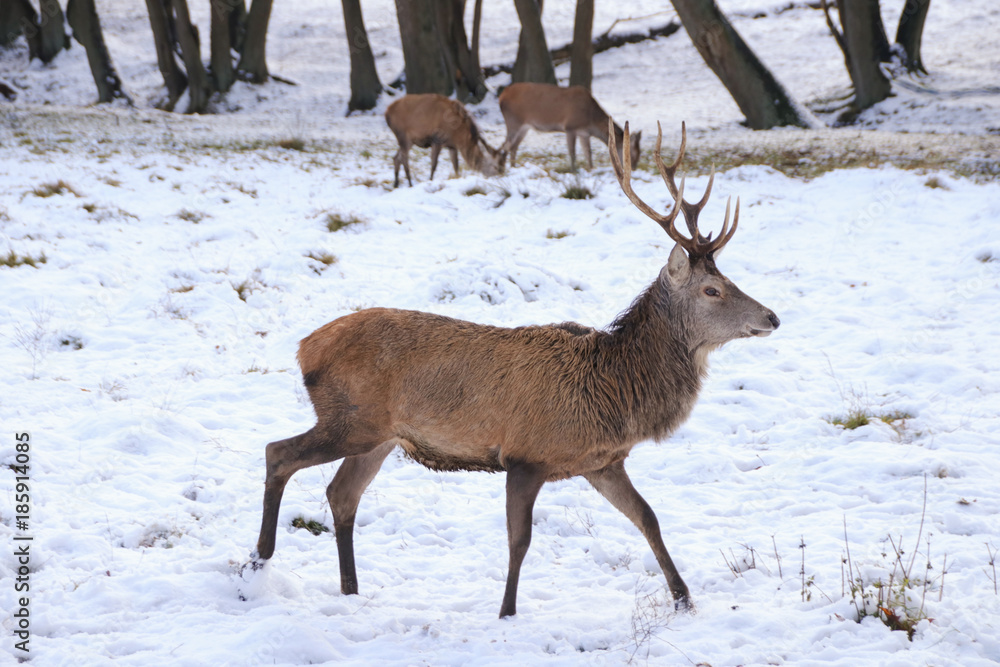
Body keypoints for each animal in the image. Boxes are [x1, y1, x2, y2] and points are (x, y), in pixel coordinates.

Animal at [245, 120, 780, 618]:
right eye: (712, 289)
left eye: (729, 279)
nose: (772, 317)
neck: (612, 391)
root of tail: (304, 348)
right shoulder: (525, 456)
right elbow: (519, 541)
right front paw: (506, 612)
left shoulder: (602, 462)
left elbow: (648, 517)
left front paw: (684, 599)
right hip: (351, 418)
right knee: (278, 453)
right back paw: (260, 559)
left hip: (380, 437)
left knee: (341, 494)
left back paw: (350, 589)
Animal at [498, 82, 641, 171]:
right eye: (631, 152)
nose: (633, 168)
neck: (591, 121)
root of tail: (501, 96)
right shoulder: (570, 127)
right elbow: (572, 153)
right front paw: (573, 170)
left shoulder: (584, 133)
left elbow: (588, 153)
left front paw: (591, 169)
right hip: (513, 121)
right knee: (505, 145)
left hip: (524, 127)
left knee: (513, 146)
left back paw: (513, 167)